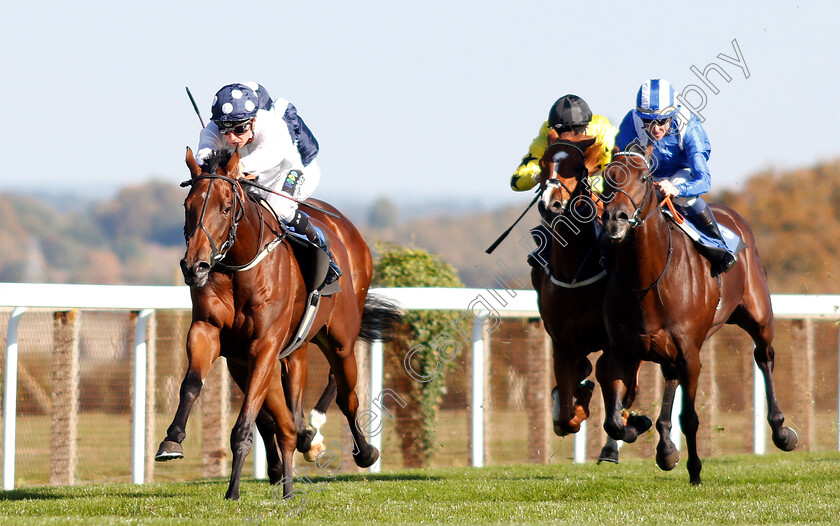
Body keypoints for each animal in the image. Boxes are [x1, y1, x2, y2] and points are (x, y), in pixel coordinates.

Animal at [158, 146, 400, 502]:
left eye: (226, 207)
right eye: (188, 206)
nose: (195, 266)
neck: (239, 265)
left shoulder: (264, 345)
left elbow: (247, 420)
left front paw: (233, 490)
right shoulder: (213, 335)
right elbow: (192, 385)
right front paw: (172, 440)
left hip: (340, 338)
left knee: (346, 394)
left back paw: (363, 452)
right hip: (291, 349)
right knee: (292, 398)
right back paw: (300, 445)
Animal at [592, 148, 796, 486]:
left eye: (644, 177)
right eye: (609, 176)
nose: (615, 218)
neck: (648, 281)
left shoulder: (691, 354)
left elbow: (690, 418)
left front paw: (696, 471)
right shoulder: (622, 352)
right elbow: (614, 421)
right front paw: (640, 426)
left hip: (759, 317)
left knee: (764, 357)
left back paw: (782, 431)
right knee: (670, 378)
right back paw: (665, 448)